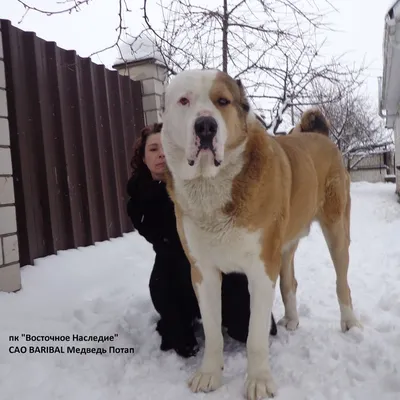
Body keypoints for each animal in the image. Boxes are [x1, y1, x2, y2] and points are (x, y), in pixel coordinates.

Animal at [160, 69, 362, 400]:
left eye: (222, 101)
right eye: (184, 101)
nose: (206, 126)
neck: (213, 184)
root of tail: (320, 137)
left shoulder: (260, 269)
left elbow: (255, 336)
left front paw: (258, 382)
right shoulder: (203, 272)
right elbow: (213, 332)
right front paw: (209, 375)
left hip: (336, 230)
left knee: (342, 282)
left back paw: (350, 323)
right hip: (285, 244)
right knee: (290, 281)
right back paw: (291, 320)